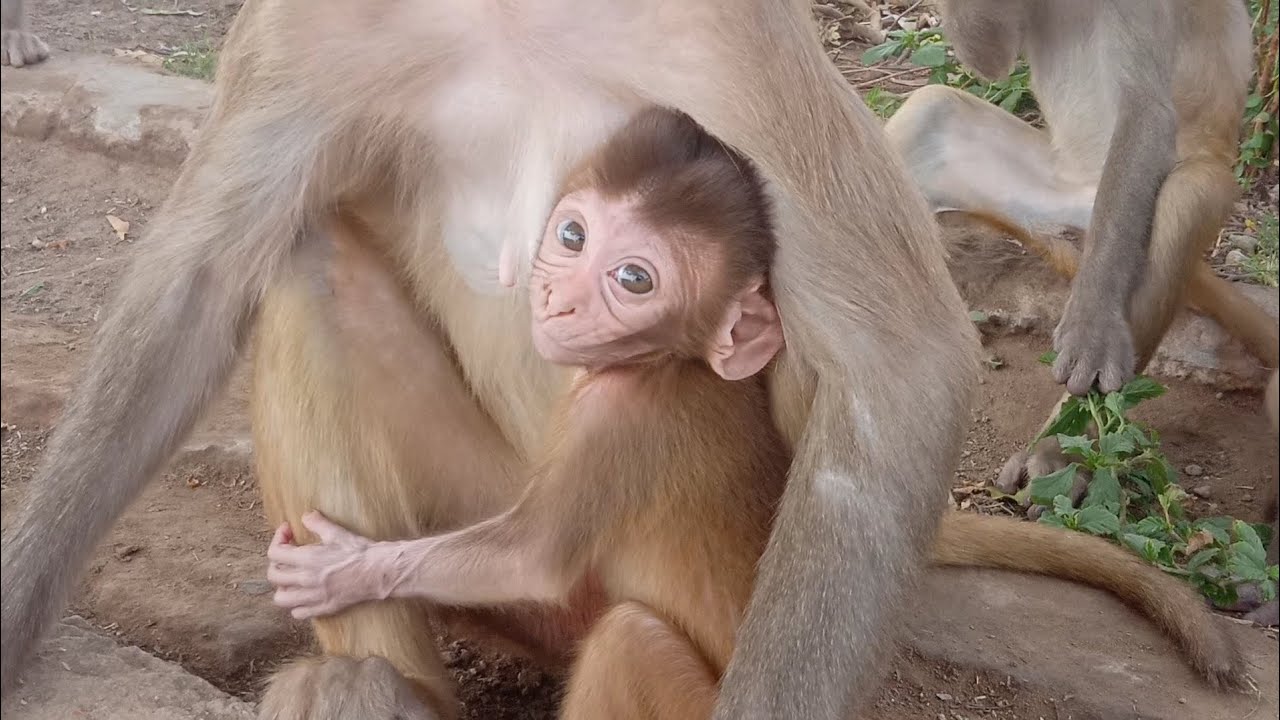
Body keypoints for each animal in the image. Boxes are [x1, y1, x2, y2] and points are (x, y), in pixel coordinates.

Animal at [882, 0, 1275, 500]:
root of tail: (1086, 210)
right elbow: (989, 60)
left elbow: (1145, 110)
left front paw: (1090, 330)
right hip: (1042, 187)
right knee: (931, 108)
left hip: (1124, 207)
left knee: (1189, 195)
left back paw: (1058, 450)